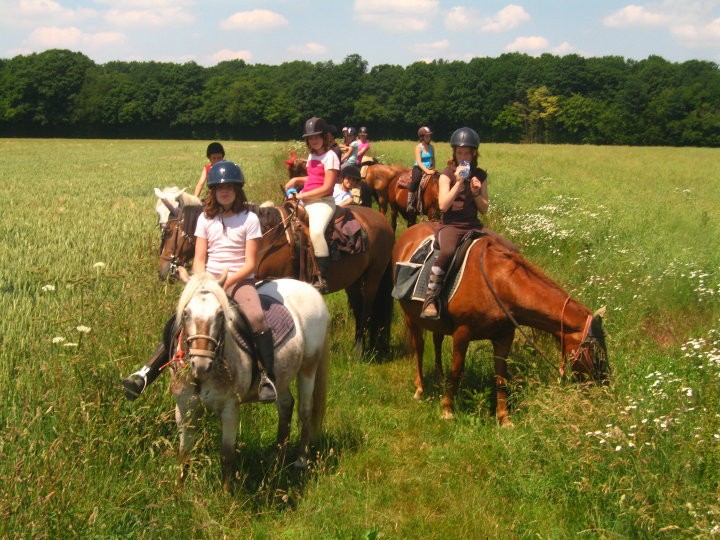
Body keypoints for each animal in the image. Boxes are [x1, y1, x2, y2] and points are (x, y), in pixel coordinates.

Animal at [159, 202, 394, 354]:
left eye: (168, 232)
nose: (162, 270)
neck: (266, 239)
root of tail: (382, 220)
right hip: (353, 281)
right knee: (359, 306)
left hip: (373, 276)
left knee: (367, 308)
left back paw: (359, 350)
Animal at [172, 268, 330, 490]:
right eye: (186, 313)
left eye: (220, 314)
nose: (201, 364)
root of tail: (310, 289)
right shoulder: (184, 408)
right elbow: (184, 453)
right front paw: (177, 491)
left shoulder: (230, 409)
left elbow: (227, 455)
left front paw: (225, 493)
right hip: (281, 375)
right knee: (286, 405)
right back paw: (277, 457)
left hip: (308, 368)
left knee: (305, 411)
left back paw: (300, 460)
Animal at [394, 221, 608, 424]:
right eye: (594, 350)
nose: (605, 386)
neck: (498, 284)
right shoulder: (462, 332)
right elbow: (456, 370)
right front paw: (447, 409)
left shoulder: (504, 337)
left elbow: (501, 377)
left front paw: (504, 418)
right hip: (411, 317)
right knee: (419, 347)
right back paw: (420, 388)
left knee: (437, 340)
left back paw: (439, 377)